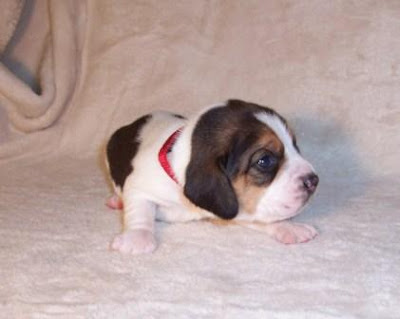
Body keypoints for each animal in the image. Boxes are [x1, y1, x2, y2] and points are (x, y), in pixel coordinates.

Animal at [105, 100, 318, 255]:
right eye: (264, 161)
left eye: (295, 146)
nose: (314, 181)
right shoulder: (139, 187)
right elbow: (141, 210)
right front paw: (137, 237)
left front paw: (289, 228)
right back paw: (117, 201)